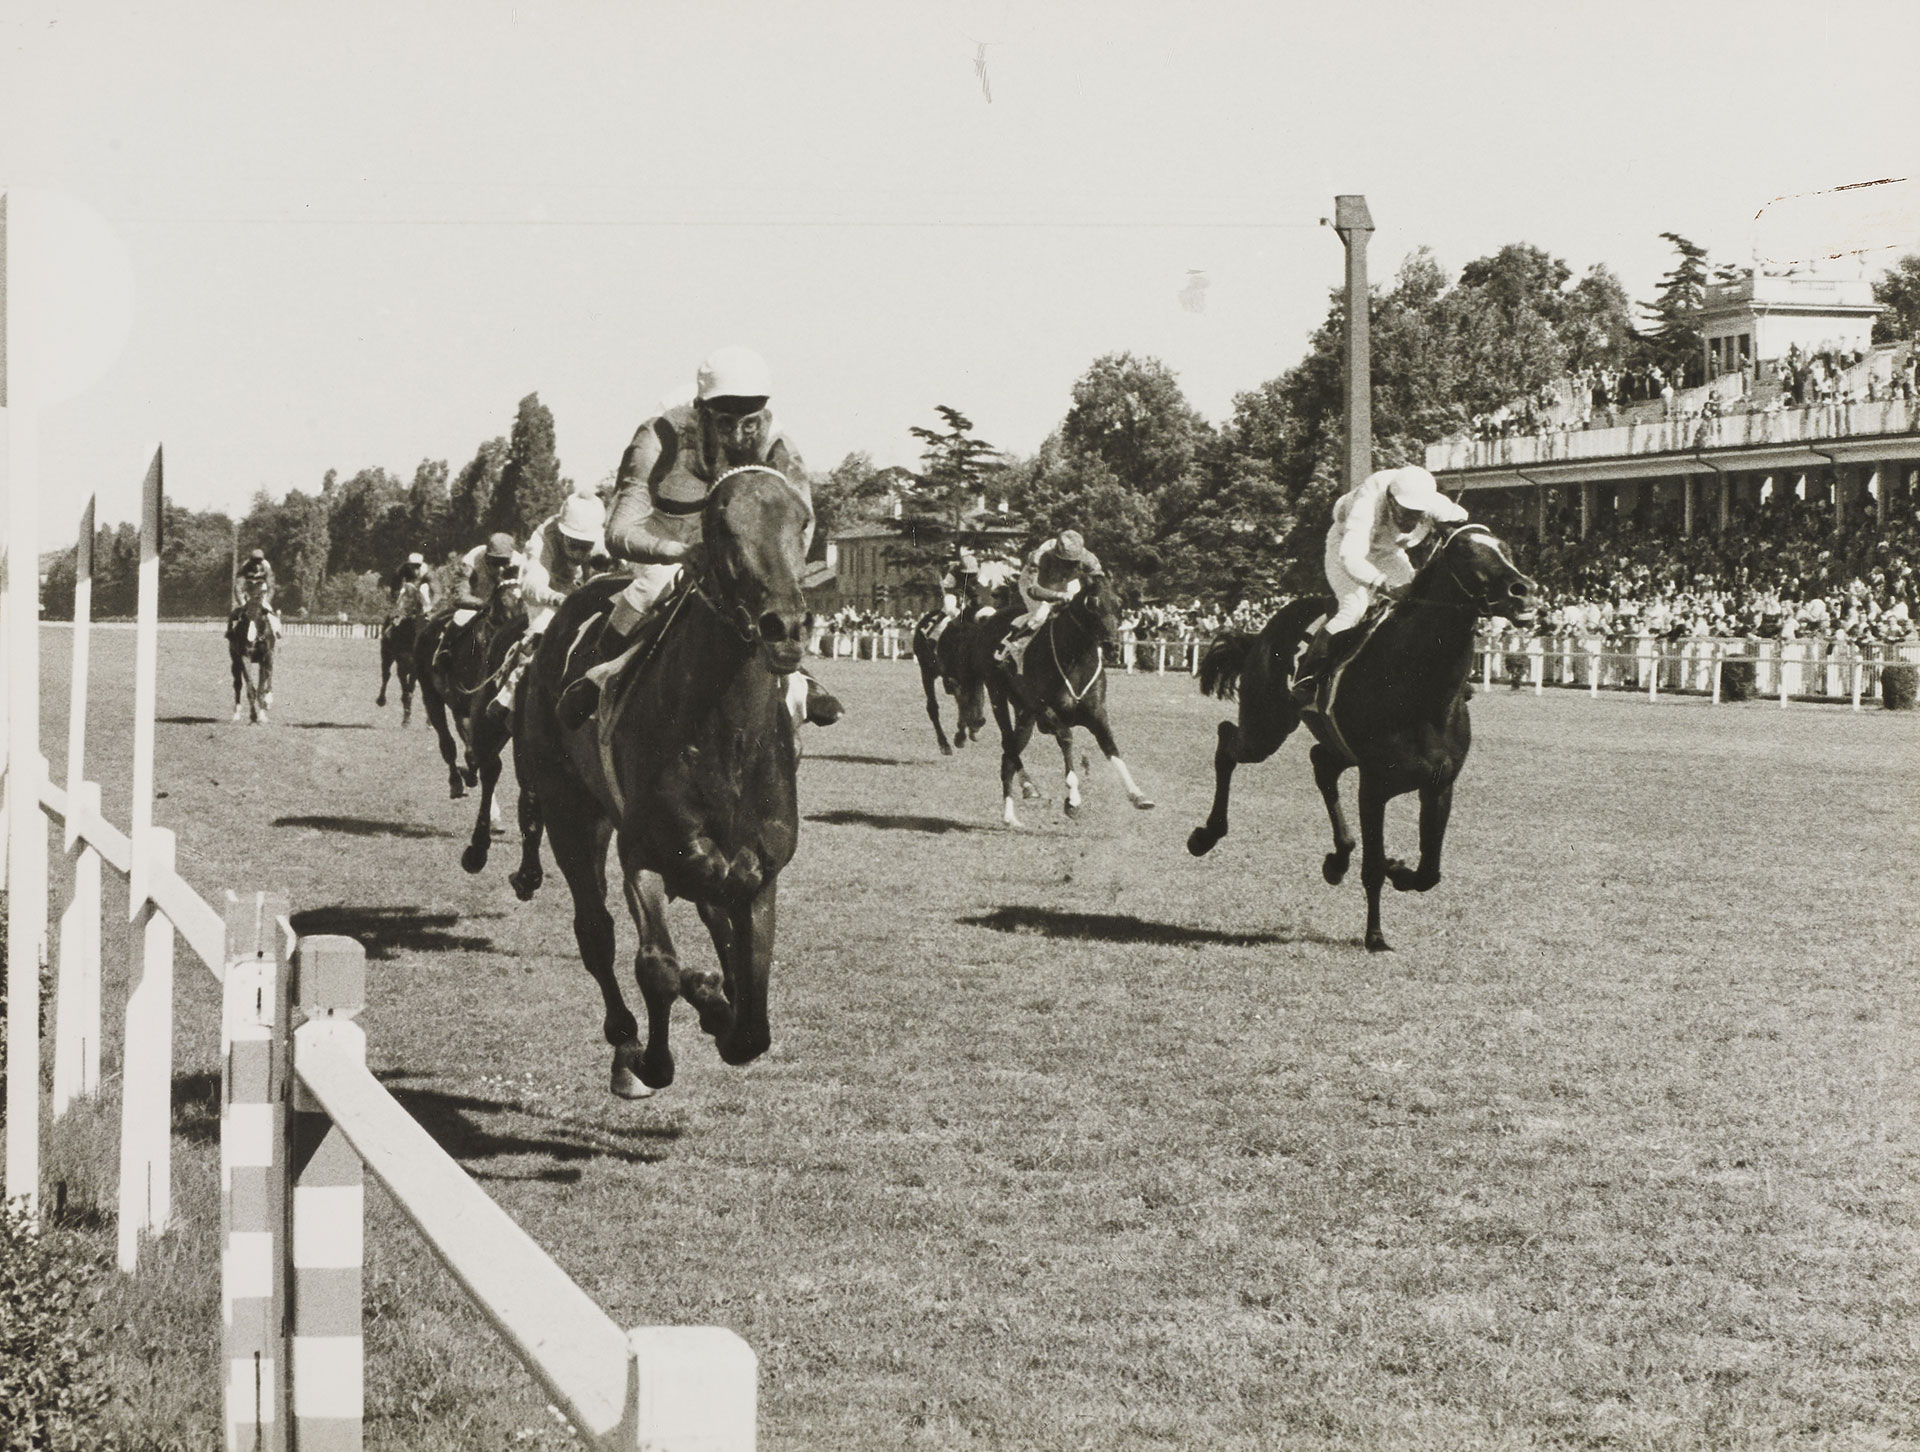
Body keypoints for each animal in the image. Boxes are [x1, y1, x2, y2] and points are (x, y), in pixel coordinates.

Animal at [226, 591, 276, 722]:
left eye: (260, 614)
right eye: (245, 615)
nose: (250, 637)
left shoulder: (267, 655)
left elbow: (266, 678)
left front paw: (266, 704)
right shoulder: (245, 657)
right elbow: (250, 687)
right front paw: (253, 716)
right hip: (235, 661)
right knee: (237, 684)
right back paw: (237, 713)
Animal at [506, 464, 806, 1098]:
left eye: (803, 522)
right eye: (720, 525)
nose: (784, 627)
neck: (726, 742)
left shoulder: (758, 873)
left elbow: (752, 1020)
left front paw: (718, 1001)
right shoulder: (641, 852)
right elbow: (658, 966)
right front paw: (655, 1052)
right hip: (571, 814)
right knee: (595, 931)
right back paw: (625, 1038)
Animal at [975, 576, 1152, 829]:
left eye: (1119, 603)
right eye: (1092, 603)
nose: (1112, 646)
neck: (1075, 660)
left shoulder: (1097, 715)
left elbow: (1111, 747)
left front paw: (1137, 794)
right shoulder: (1046, 713)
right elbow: (1067, 739)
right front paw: (1073, 800)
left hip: (1024, 714)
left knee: (1009, 756)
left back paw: (1011, 814)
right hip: (997, 694)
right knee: (1008, 746)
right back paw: (1027, 790)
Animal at [1190, 522, 1536, 952]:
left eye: (1508, 550)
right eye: (1467, 555)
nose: (1524, 590)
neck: (1419, 687)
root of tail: (1264, 630)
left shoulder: (1439, 784)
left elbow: (1429, 870)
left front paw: (1398, 869)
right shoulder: (1373, 785)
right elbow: (1373, 867)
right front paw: (1375, 935)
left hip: (1330, 744)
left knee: (1321, 763)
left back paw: (1337, 859)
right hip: (1265, 727)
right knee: (1227, 741)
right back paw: (1206, 835)